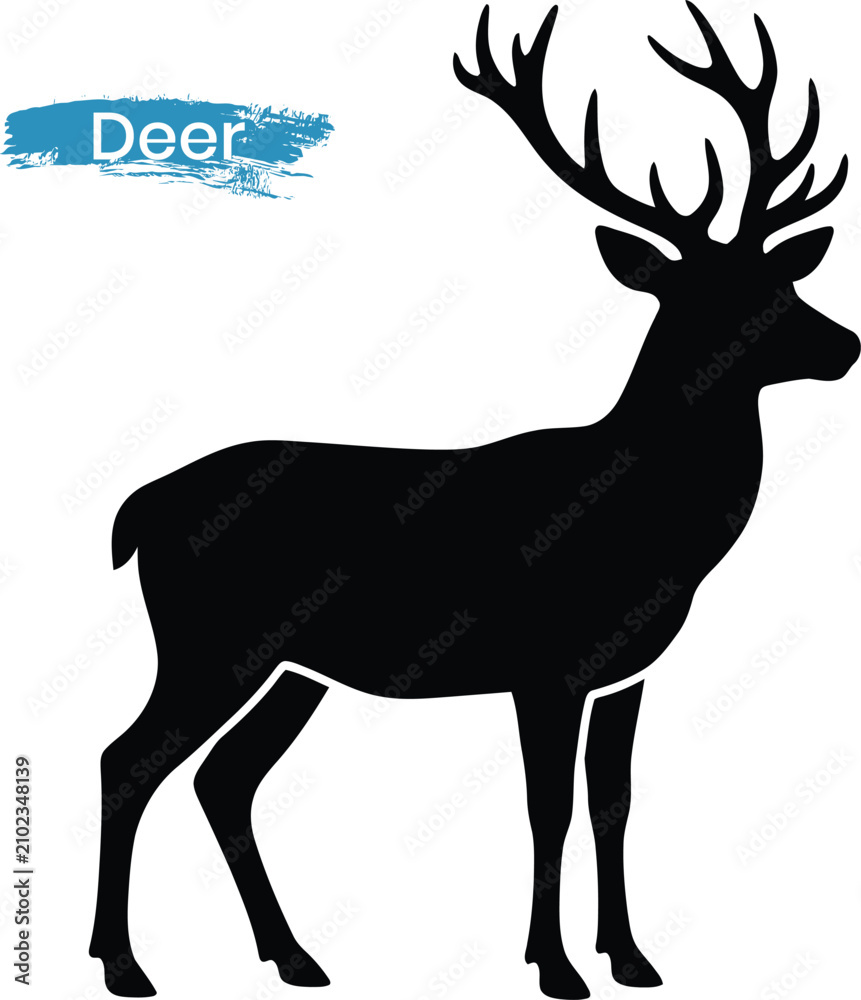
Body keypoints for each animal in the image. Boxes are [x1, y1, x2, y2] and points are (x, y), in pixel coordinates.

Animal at [88, 4, 857, 998]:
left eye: (785, 277)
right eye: (708, 296)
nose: (843, 345)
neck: (652, 527)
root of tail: (137, 508)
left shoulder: (628, 669)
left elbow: (613, 801)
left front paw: (632, 957)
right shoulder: (544, 663)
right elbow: (547, 808)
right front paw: (555, 966)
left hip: (291, 666)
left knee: (223, 777)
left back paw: (294, 956)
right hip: (207, 641)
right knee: (127, 759)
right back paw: (123, 964)